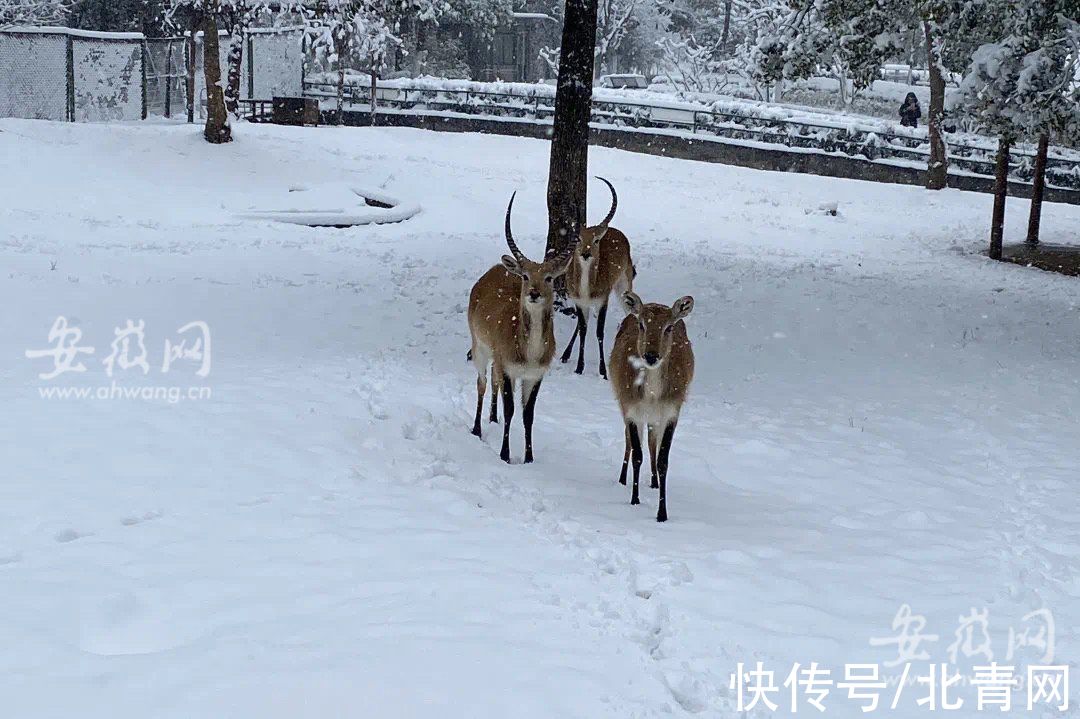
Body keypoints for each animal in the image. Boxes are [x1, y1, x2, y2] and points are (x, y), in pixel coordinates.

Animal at [468, 190, 578, 462]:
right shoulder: (509, 369)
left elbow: (528, 415)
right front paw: (505, 454)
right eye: (526, 276)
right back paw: (477, 428)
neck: (530, 352)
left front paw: (529, 458)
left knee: (493, 383)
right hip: (480, 349)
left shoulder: (535, 375)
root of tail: (496, 268)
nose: (534, 293)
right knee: (482, 383)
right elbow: (510, 410)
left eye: (549, 277)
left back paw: (492, 419)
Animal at [561, 175, 635, 377]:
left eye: (595, 240)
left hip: (623, 288)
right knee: (582, 325)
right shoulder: (580, 302)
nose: (586, 254)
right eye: (578, 238)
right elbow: (583, 329)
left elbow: (599, 332)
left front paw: (603, 371)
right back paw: (565, 355)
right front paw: (579, 367)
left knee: (631, 312)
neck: (587, 287)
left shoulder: (603, 300)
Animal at [613, 291, 695, 520]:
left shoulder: (672, 411)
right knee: (629, 440)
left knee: (651, 441)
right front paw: (634, 499)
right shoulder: (631, 407)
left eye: (669, 327)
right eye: (642, 324)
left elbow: (662, 460)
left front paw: (662, 513)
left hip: (655, 417)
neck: (651, 396)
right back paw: (622, 479)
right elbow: (637, 454)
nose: (651, 355)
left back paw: (654, 482)